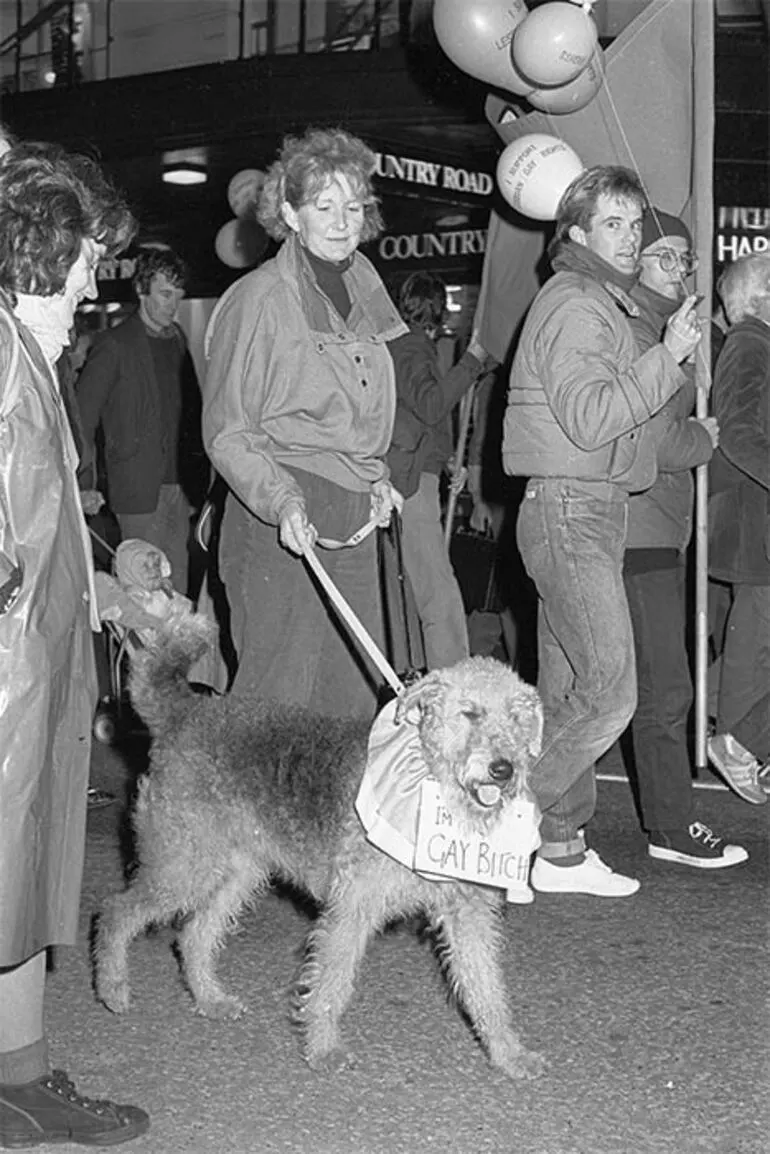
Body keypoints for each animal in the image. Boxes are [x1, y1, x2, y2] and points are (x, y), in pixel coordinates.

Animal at [93, 613, 544, 1080]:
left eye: (518, 718)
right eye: (470, 713)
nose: (503, 769)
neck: (429, 785)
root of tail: (184, 713)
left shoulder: (467, 911)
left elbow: (486, 986)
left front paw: (510, 1054)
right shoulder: (352, 908)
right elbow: (331, 983)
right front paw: (325, 1050)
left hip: (235, 872)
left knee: (193, 935)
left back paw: (211, 1000)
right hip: (184, 865)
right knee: (116, 912)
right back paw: (113, 990)